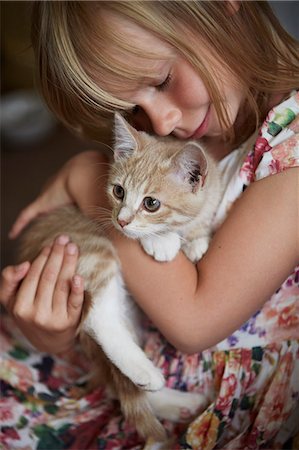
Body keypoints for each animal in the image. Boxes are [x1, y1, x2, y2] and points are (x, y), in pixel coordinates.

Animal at [18, 114, 220, 442]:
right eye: (119, 192)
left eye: (151, 203)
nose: (121, 220)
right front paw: (163, 241)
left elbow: (200, 219)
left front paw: (197, 240)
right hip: (91, 244)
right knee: (98, 318)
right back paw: (147, 373)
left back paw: (178, 402)